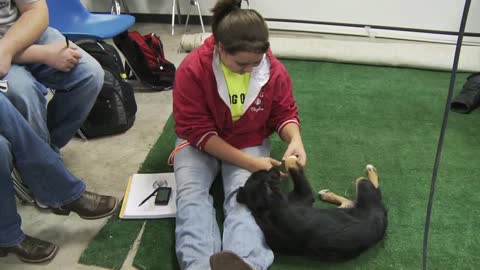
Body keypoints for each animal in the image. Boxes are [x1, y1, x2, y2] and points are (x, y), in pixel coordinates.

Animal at [236, 156, 386, 262]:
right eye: (267, 172)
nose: (275, 168)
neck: (266, 207)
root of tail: (382, 219)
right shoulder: (305, 194)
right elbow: (293, 165)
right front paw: (292, 158)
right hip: (364, 186)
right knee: (372, 188)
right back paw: (371, 170)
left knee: (350, 201)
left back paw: (327, 194)